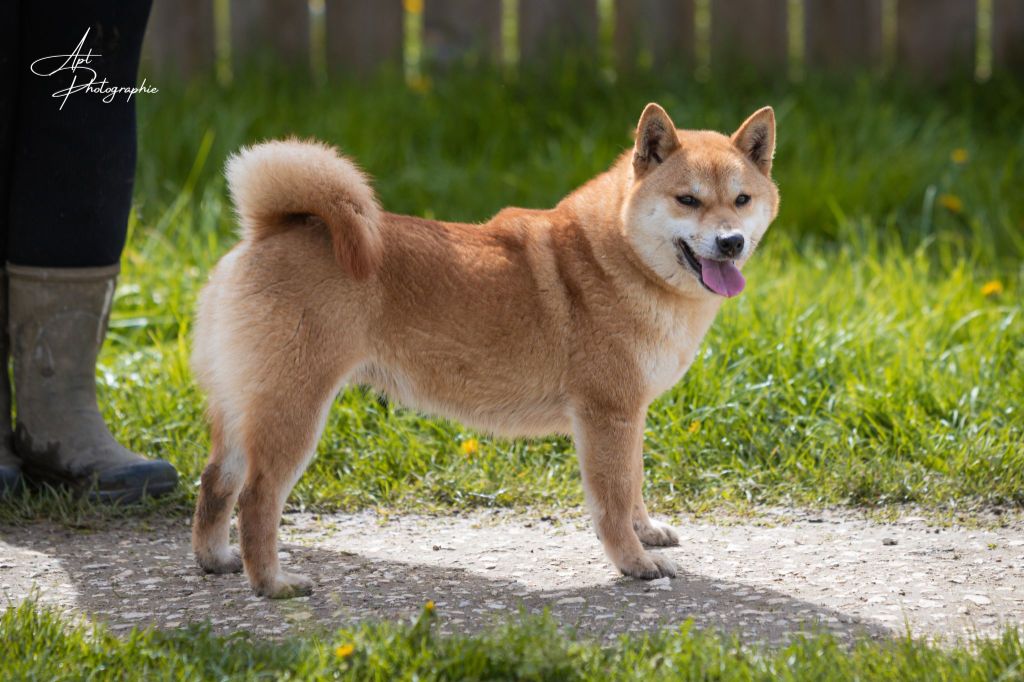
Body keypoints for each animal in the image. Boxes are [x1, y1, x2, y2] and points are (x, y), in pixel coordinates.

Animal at [190, 100, 774, 593]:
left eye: (741, 199)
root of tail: (268, 231)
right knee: (257, 498)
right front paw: (635, 563)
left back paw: (216, 559)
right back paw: (272, 583)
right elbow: (612, 502)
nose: (730, 241)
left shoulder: (629, 416)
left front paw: (647, 532)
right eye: (688, 199)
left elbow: (633, 485)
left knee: (217, 481)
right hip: (295, 412)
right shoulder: (607, 414)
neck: (616, 257)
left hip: (243, 408)